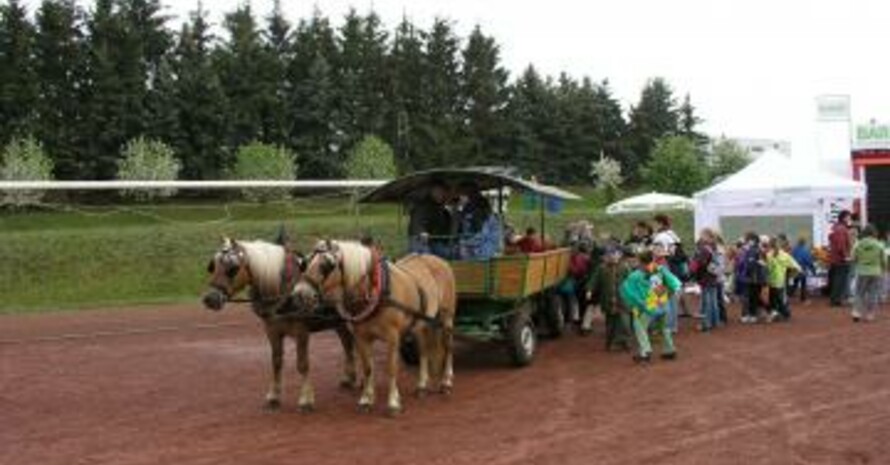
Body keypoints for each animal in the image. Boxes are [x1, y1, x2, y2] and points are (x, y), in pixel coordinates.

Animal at [201, 237, 358, 412]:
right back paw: (348, 378)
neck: (283, 289)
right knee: (347, 343)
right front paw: (274, 397)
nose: (210, 299)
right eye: (213, 265)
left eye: (232, 268)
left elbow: (302, 364)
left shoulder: (301, 331)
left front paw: (306, 399)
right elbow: (276, 362)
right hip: (338, 322)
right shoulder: (272, 330)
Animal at [294, 241, 458, 416]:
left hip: (446, 318)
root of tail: (439, 260)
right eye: (305, 263)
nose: (299, 294)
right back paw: (422, 386)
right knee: (424, 351)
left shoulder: (393, 336)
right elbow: (368, 368)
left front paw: (393, 403)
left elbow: (391, 368)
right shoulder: (361, 336)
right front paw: (366, 399)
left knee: (448, 347)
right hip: (421, 324)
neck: (376, 291)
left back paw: (446, 381)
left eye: (326, 265)